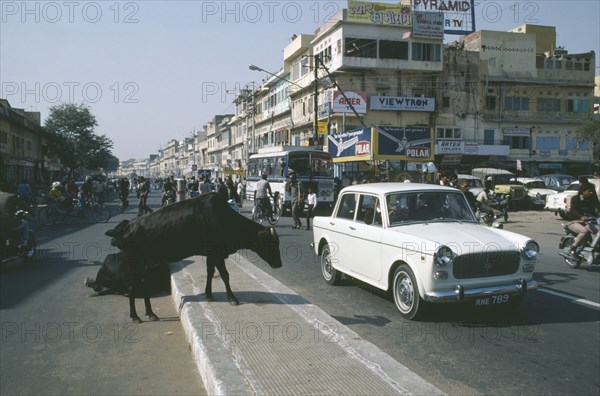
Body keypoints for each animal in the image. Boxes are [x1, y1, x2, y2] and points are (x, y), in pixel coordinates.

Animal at [103, 193, 284, 324]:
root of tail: (128, 227)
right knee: (132, 287)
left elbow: (211, 273)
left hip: (147, 264)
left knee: (144, 286)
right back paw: (135, 316)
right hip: (134, 263)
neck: (225, 220)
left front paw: (209, 294)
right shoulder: (217, 253)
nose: (279, 264)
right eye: (271, 244)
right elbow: (225, 275)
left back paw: (151, 313)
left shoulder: (212, 255)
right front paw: (232, 298)